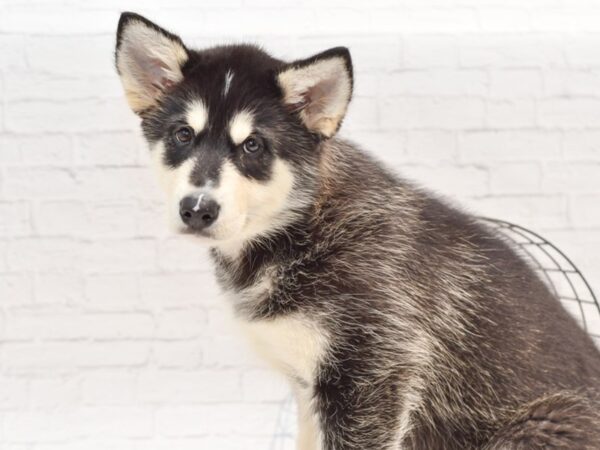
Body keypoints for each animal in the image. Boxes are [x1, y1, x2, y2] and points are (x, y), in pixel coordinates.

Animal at [116, 13, 600, 450]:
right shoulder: (309, 388)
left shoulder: (371, 376)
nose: (197, 210)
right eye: (183, 135)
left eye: (253, 145)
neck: (301, 225)